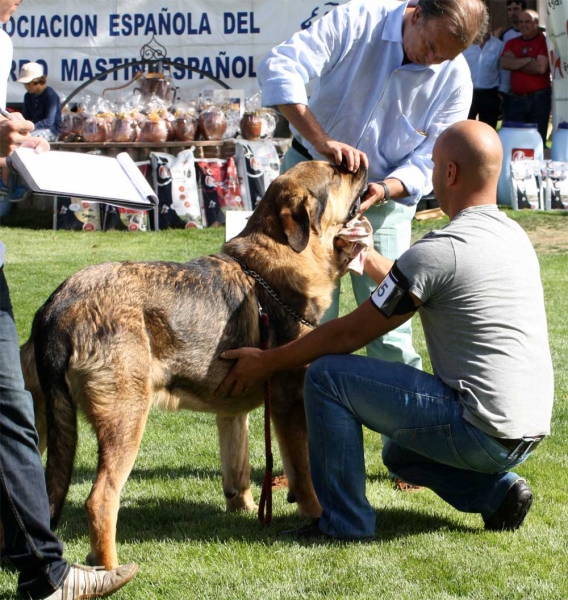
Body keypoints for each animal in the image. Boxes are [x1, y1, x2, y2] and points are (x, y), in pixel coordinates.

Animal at [21, 158, 368, 568]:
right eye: (336, 173)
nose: (360, 163)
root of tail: (60, 304)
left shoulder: (233, 411)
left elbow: (238, 467)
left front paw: (244, 508)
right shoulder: (289, 403)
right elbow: (304, 474)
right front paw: (316, 517)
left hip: (44, 419)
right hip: (126, 419)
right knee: (100, 499)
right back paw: (111, 568)